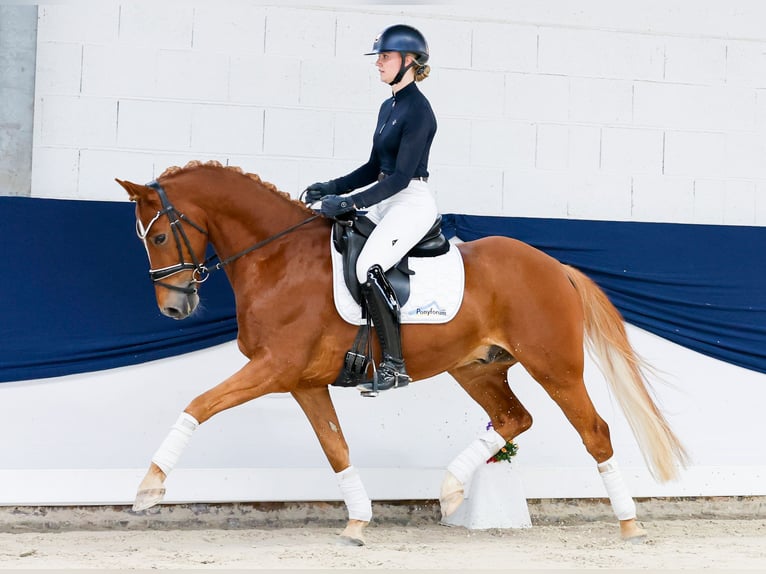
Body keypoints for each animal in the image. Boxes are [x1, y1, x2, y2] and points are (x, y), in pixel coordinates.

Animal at [117, 160, 687, 544]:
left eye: (160, 236)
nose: (174, 308)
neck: (278, 258)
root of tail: (556, 267)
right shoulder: (303, 382)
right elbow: (336, 448)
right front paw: (357, 521)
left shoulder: (273, 368)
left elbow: (198, 404)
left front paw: (148, 488)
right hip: (476, 369)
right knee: (514, 418)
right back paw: (452, 489)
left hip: (556, 368)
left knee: (595, 432)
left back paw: (630, 525)